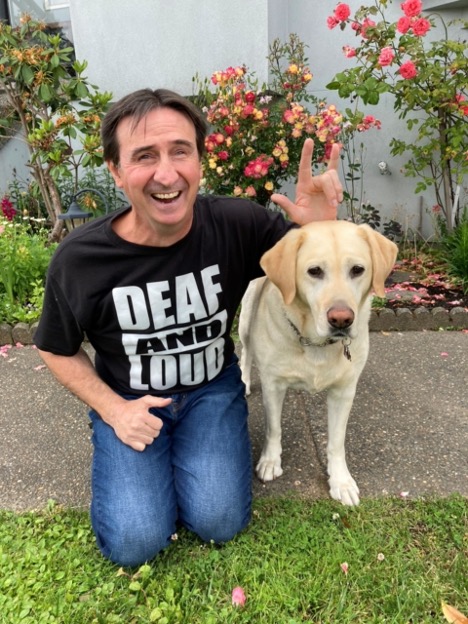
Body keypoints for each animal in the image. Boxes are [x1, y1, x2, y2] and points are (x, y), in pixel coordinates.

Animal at [241, 222, 398, 504]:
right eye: (314, 271)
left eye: (357, 270)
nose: (341, 319)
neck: (316, 342)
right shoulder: (273, 385)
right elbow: (273, 428)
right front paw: (270, 461)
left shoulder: (344, 392)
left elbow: (336, 442)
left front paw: (341, 481)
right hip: (246, 315)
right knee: (246, 351)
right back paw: (244, 381)